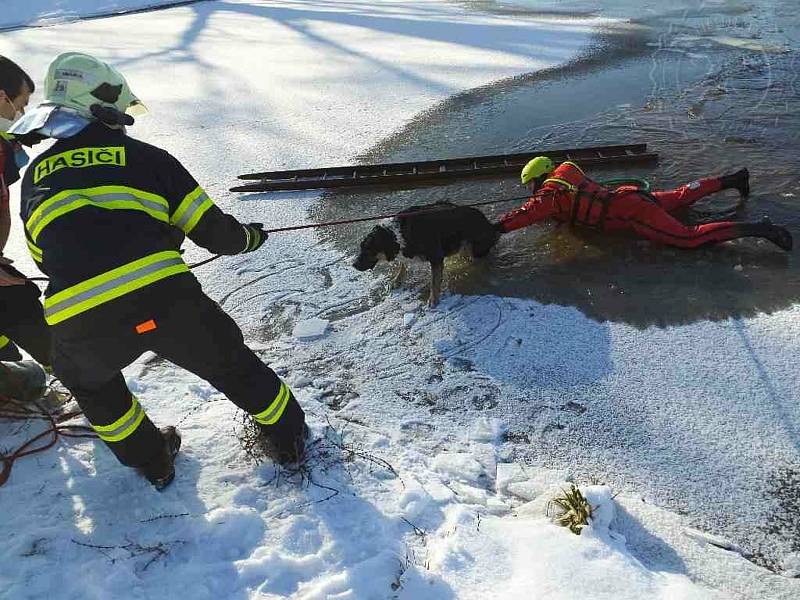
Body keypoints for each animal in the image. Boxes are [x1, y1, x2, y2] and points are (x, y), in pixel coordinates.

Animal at [352, 203, 496, 308]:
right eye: (361, 248)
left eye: (368, 250)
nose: (354, 265)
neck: (396, 234)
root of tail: (489, 224)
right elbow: (402, 265)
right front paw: (396, 280)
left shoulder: (436, 257)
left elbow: (434, 282)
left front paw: (433, 300)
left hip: (474, 247)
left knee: (482, 259)